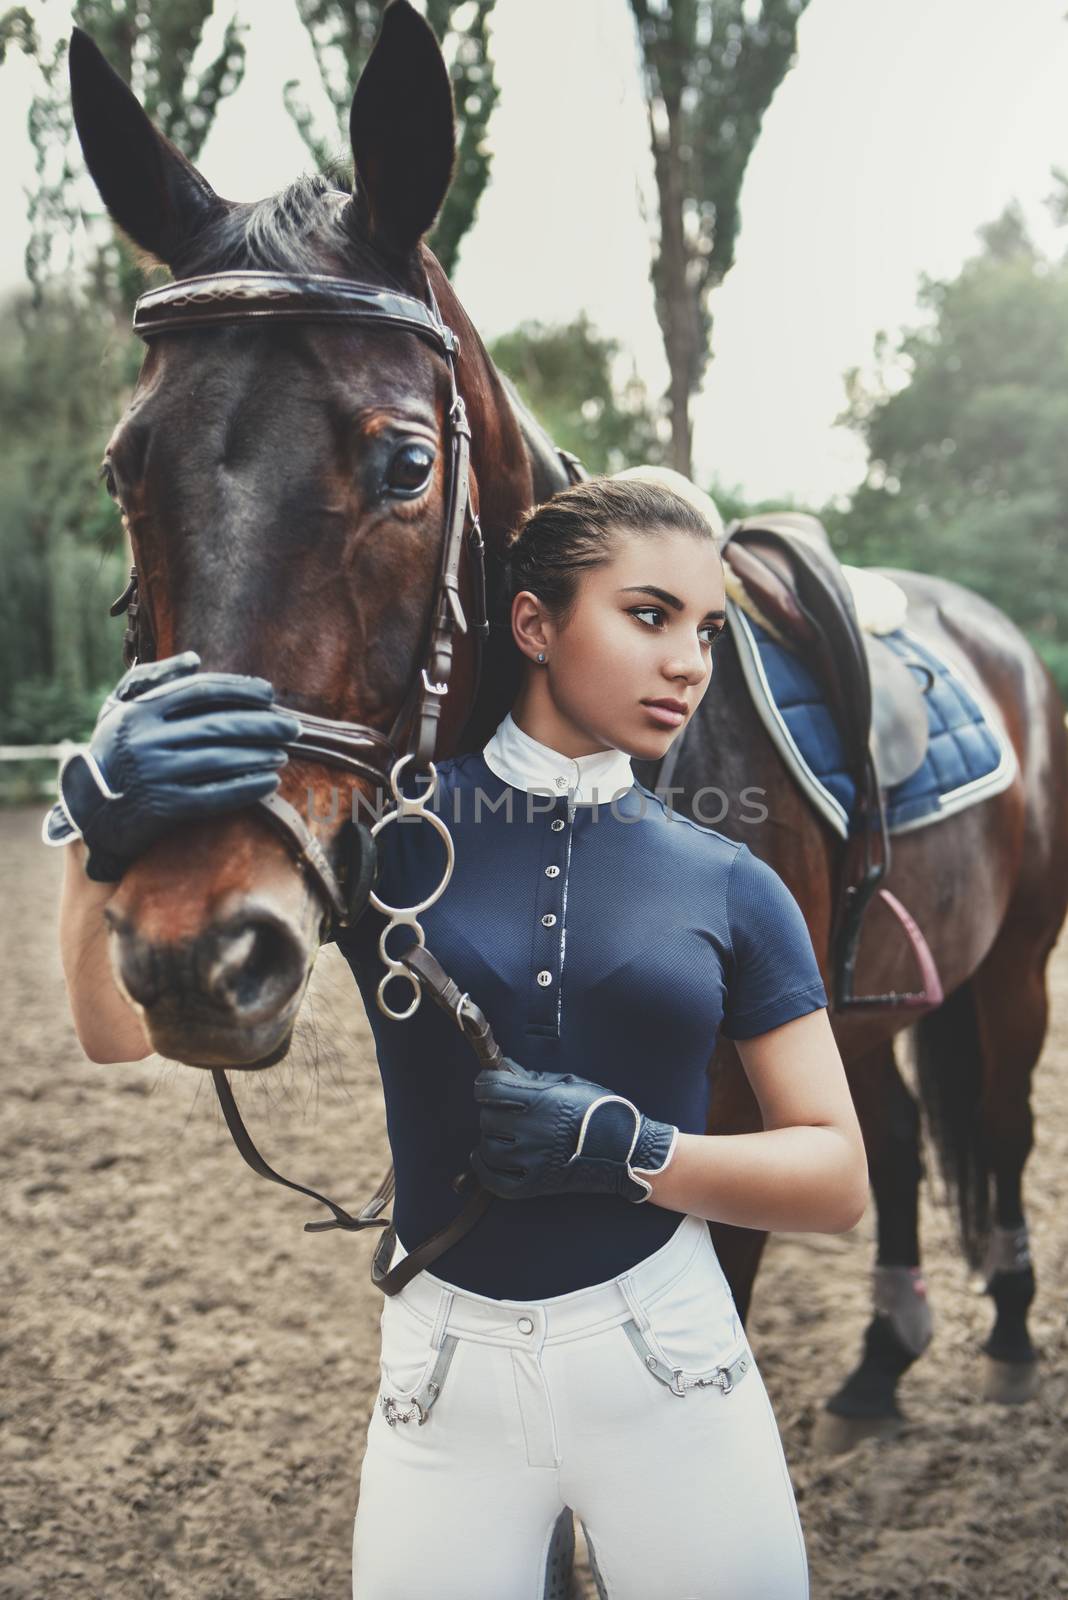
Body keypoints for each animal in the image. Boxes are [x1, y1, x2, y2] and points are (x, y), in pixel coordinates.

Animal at [68, 0, 1068, 1465]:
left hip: (1014, 969)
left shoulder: (716, 1116)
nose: (199, 946)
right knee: (887, 1134)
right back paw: (885, 1361)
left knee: (993, 1123)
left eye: (408, 465)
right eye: (123, 465)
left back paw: (1004, 1334)